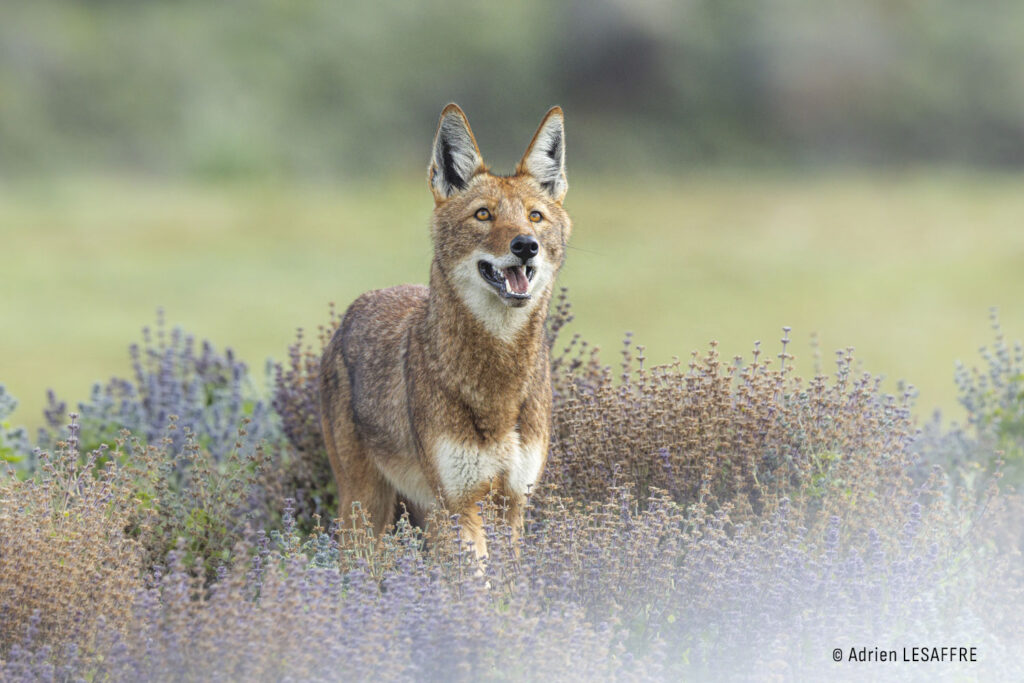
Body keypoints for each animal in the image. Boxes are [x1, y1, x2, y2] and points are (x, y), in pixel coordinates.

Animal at [319, 102, 573, 561]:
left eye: (535, 216)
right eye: (483, 214)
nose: (526, 245)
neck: (496, 386)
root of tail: (357, 305)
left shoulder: (513, 504)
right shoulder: (459, 505)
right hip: (367, 510)